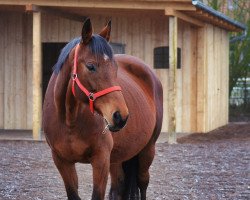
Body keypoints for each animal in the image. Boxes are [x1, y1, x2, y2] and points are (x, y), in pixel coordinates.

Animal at [42, 18, 164, 199]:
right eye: (91, 66)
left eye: (115, 68)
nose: (121, 116)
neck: (69, 121)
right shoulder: (62, 162)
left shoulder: (101, 160)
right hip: (118, 157)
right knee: (119, 187)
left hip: (147, 150)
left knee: (142, 183)